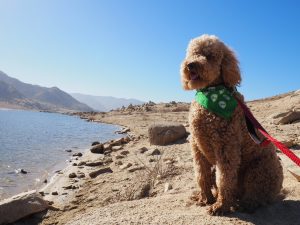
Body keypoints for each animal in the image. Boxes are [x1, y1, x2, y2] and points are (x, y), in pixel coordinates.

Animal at [180, 34, 284, 215]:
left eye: (209, 56)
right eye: (193, 53)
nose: (190, 65)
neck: (211, 95)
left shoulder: (226, 147)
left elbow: (224, 179)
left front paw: (220, 206)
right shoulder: (197, 147)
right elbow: (202, 176)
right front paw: (205, 199)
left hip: (258, 169)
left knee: (257, 195)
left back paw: (245, 204)